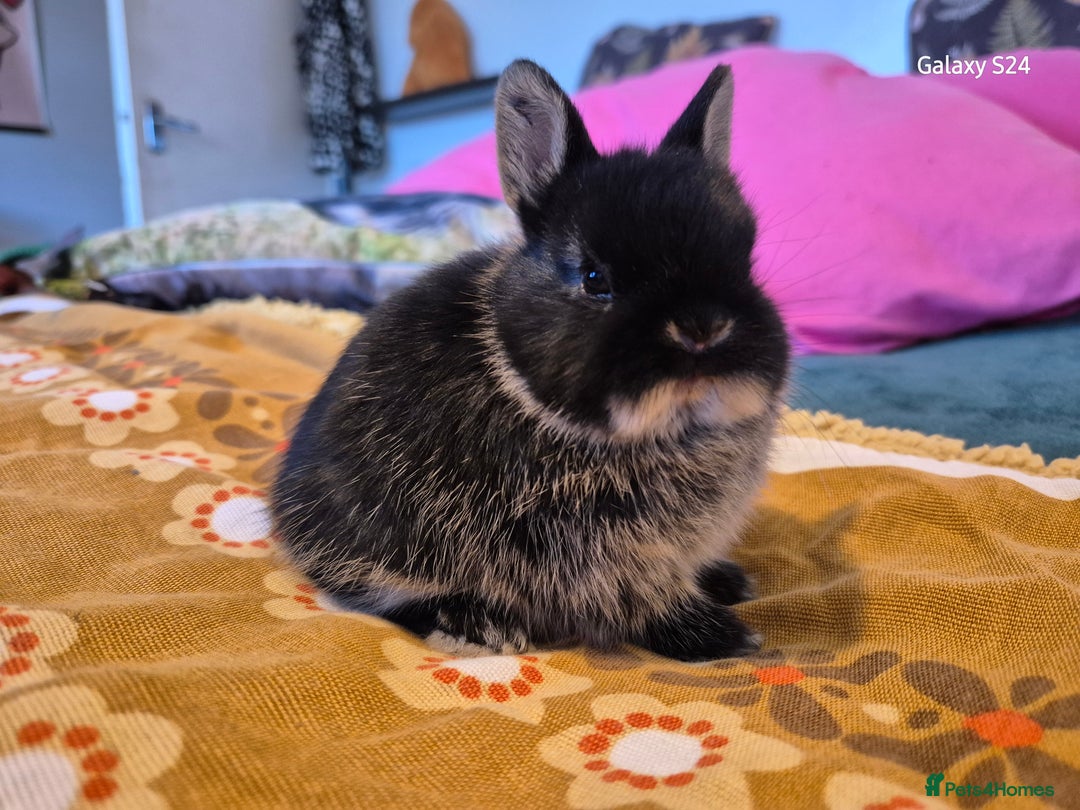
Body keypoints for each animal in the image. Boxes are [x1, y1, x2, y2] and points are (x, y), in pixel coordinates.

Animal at [271, 59, 790, 662]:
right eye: (594, 278)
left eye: (745, 260)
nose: (704, 328)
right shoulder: (594, 557)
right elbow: (636, 603)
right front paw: (722, 636)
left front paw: (726, 588)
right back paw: (479, 625)